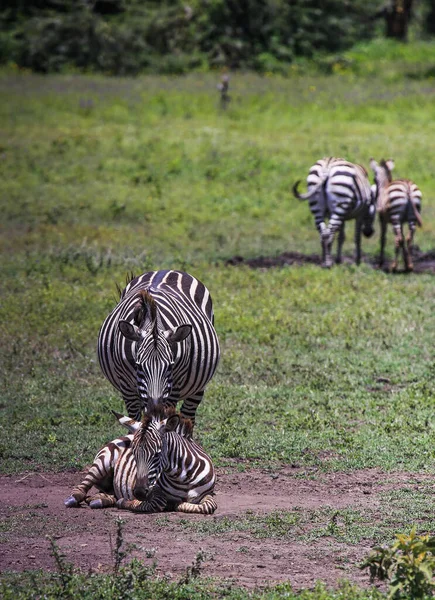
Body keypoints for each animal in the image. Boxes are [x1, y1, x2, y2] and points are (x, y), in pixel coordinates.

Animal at [63, 408, 217, 516]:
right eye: (134, 453)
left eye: (157, 454)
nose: (139, 492)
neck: (182, 477)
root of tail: (125, 435)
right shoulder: (154, 491)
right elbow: (157, 503)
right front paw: (127, 502)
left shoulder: (209, 493)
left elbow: (208, 506)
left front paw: (177, 504)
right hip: (102, 462)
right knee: (83, 487)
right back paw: (74, 499)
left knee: (108, 494)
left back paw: (99, 500)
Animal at [99, 270, 221, 424]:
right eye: (138, 366)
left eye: (170, 367)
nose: (155, 409)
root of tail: (166, 270)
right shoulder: (127, 389)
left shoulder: (174, 386)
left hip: (198, 386)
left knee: (188, 414)